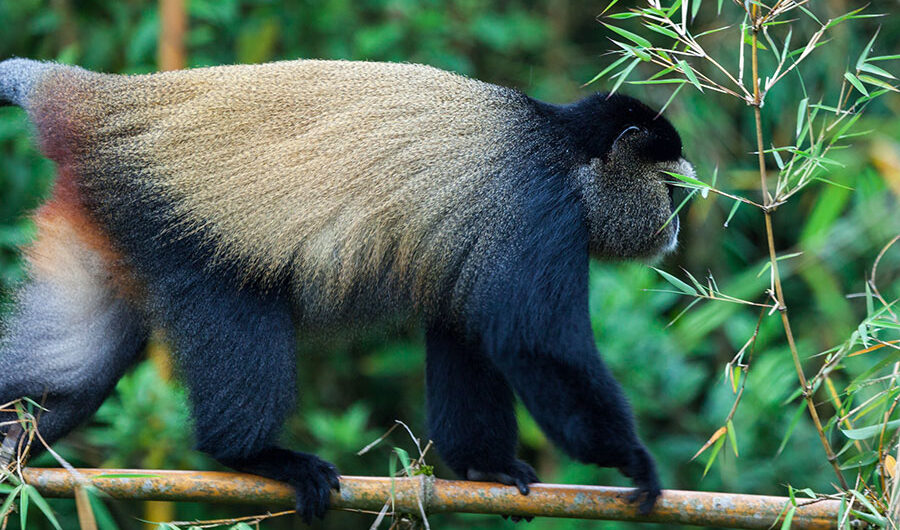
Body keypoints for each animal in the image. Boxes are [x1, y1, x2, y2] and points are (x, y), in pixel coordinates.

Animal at [0, 58, 693, 521]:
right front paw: (635, 462)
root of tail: (102, 99)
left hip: (106, 216)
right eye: (671, 188)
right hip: (172, 226)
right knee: (237, 314)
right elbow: (535, 344)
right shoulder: (542, 213)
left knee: (75, 367)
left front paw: (484, 466)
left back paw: (21, 443)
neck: (564, 148)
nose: (677, 225)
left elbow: (464, 330)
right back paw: (254, 456)